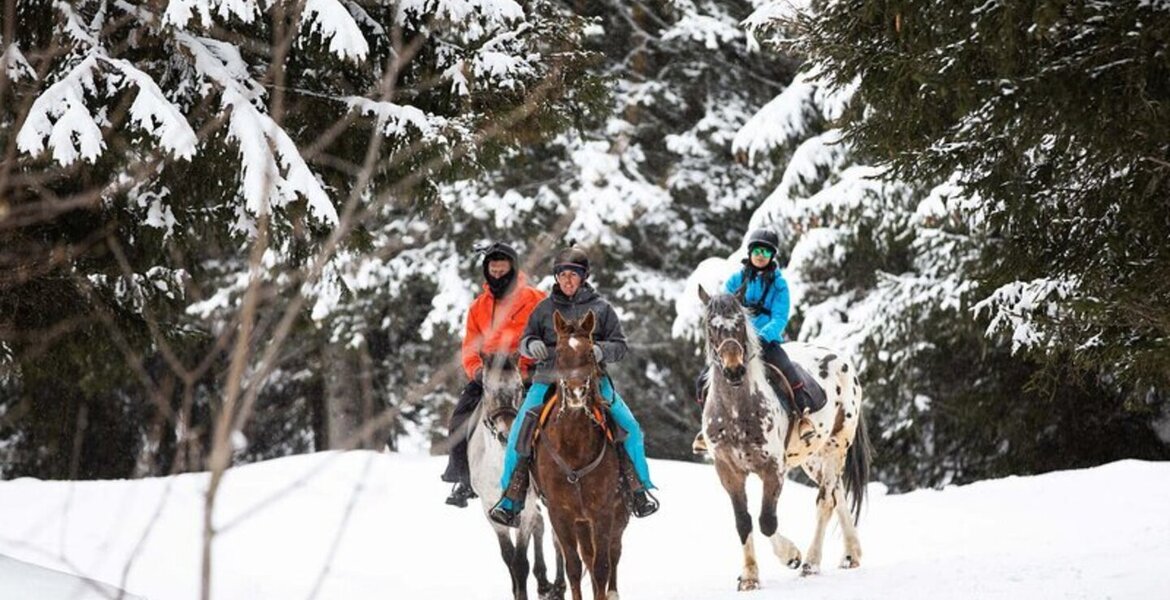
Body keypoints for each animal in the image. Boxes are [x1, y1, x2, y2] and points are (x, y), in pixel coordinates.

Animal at [467, 353, 563, 596]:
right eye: (486, 387)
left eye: (519, 386)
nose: (506, 434)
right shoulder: (491, 510)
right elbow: (509, 558)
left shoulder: (526, 506)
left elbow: (520, 563)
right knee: (542, 524)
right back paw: (543, 583)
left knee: (557, 537)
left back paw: (558, 587)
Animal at [533, 308, 631, 598]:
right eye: (559, 353)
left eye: (590, 352)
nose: (577, 391)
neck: (573, 446)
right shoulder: (560, 514)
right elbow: (574, 567)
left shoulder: (602, 511)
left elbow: (601, 567)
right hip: (580, 522)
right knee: (587, 555)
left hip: (616, 515)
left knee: (613, 553)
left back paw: (613, 591)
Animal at [692, 285, 870, 589]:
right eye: (711, 327)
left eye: (740, 324)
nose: (734, 370)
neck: (737, 410)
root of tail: (843, 359)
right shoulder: (728, 472)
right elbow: (743, 521)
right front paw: (749, 576)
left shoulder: (773, 468)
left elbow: (767, 521)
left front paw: (791, 556)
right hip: (813, 459)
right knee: (838, 494)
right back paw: (851, 555)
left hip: (835, 447)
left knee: (826, 501)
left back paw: (811, 562)